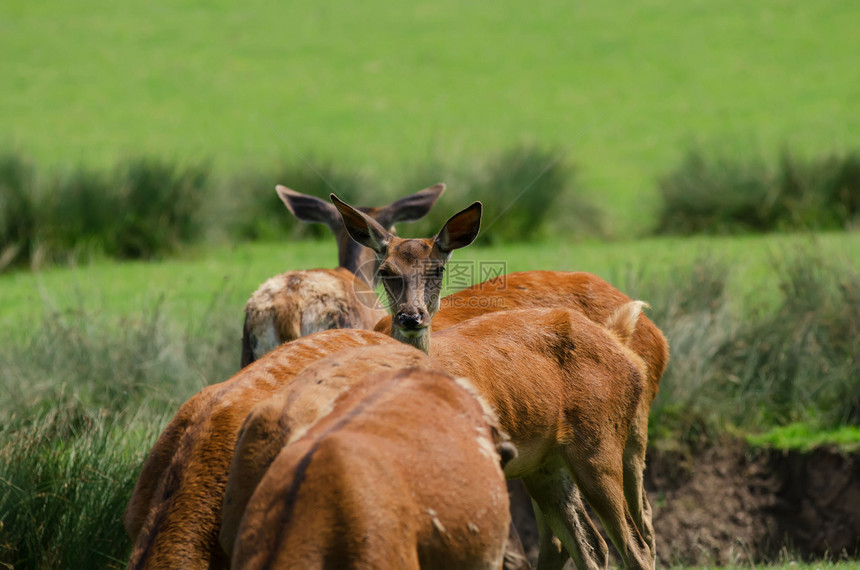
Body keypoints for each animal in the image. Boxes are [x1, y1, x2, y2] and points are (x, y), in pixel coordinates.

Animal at [330, 193, 664, 564]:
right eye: (386, 271)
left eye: (437, 269)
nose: (410, 316)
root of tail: (624, 343)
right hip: (548, 467)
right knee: (591, 545)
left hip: (601, 443)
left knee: (635, 544)